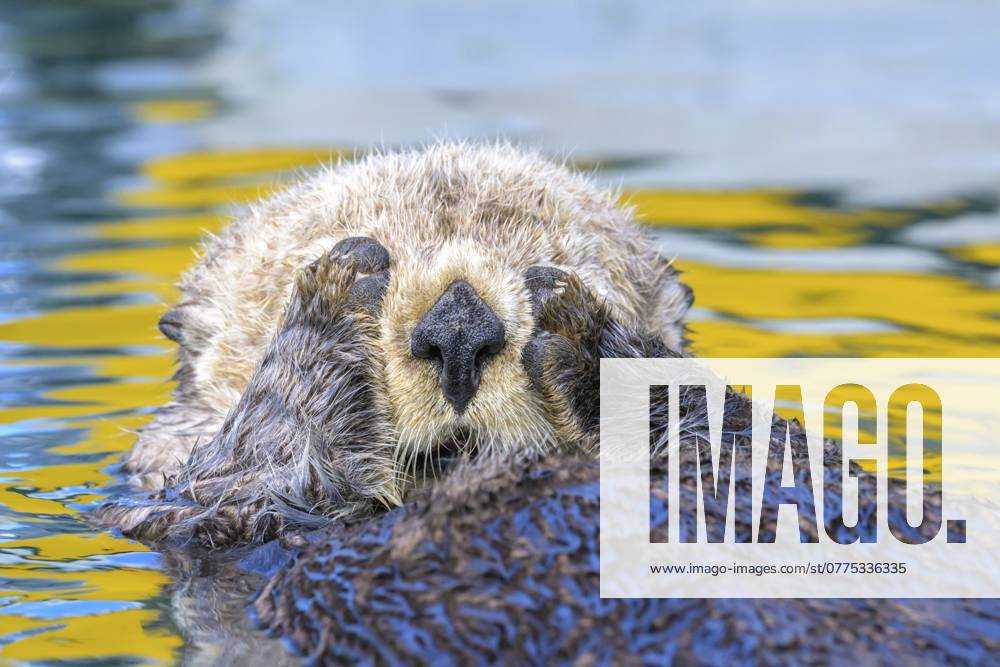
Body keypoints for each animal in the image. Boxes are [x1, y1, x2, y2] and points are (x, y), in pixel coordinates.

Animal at [98, 144, 998, 664]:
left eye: (549, 260)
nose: (459, 324)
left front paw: (593, 342)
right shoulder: (194, 523)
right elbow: (237, 487)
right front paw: (329, 298)